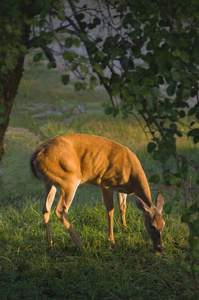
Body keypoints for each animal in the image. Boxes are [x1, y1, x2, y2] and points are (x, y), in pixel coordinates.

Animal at [30, 132, 165, 252]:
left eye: (163, 224)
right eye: (152, 226)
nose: (160, 248)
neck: (132, 175)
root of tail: (37, 153)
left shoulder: (120, 189)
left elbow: (123, 207)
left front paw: (124, 228)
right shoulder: (106, 183)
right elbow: (110, 210)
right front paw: (111, 240)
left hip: (49, 183)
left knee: (46, 208)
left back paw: (50, 243)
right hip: (69, 180)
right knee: (60, 210)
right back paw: (81, 245)